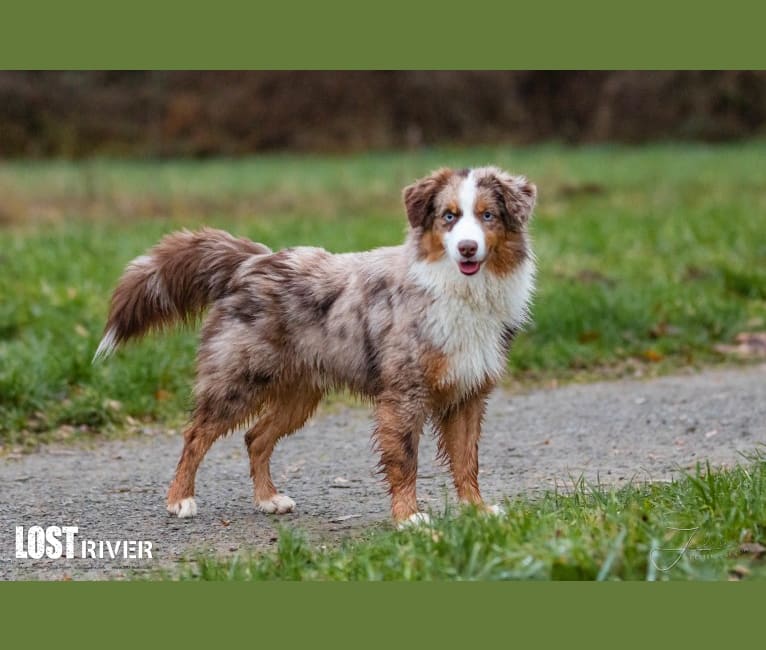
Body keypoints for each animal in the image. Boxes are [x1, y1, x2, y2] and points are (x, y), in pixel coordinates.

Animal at [93, 166, 536, 520]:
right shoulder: (403, 395)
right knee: (195, 435)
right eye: (449, 217)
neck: (459, 289)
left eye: (487, 215)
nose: (467, 248)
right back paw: (180, 499)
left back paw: (267, 499)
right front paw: (409, 518)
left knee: (255, 438)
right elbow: (405, 460)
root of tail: (251, 262)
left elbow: (466, 460)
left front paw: (477, 510)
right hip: (236, 382)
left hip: (299, 394)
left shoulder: (469, 392)